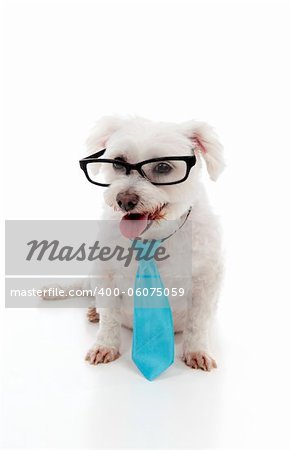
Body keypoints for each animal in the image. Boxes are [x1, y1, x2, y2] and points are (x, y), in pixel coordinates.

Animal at [46, 117, 225, 372]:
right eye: (118, 162)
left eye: (163, 167)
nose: (124, 200)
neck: (152, 238)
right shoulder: (106, 275)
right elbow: (109, 318)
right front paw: (105, 345)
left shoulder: (207, 281)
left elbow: (197, 323)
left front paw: (196, 350)